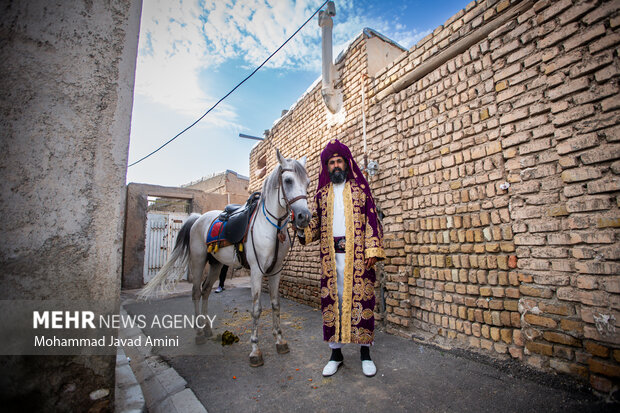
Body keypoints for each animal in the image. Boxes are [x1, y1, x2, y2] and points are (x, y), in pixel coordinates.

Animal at [138, 150, 308, 366]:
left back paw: (208, 329)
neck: (271, 227)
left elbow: (276, 305)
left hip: (216, 264)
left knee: (206, 291)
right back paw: (199, 334)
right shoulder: (256, 271)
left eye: (307, 182)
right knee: (196, 292)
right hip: (198, 261)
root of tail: (198, 218)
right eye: (287, 180)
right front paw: (255, 350)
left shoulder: (276, 271)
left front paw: (280, 341)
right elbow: (256, 308)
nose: (304, 216)